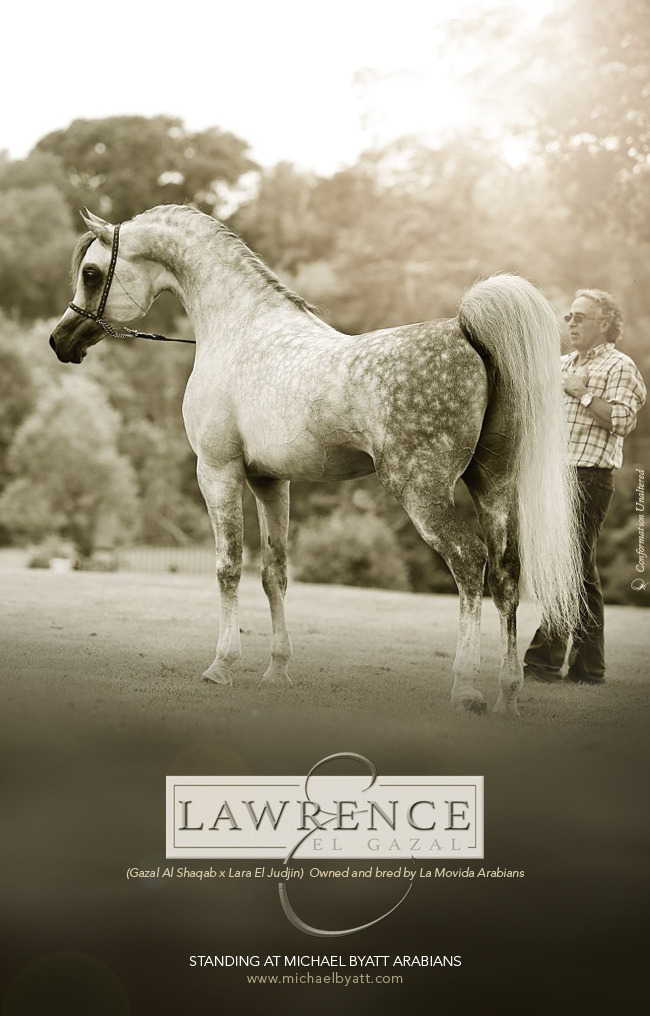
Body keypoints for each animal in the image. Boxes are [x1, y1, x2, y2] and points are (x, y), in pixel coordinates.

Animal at [49, 203, 581, 717]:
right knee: (507, 575)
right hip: (492, 485)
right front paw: (277, 670)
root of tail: (465, 332)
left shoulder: (217, 471)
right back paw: (508, 694)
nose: (60, 341)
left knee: (470, 565)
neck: (239, 332)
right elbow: (274, 574)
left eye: (91, 273)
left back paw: (466, 687)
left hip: (421, 490)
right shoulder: (270, 481)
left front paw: (222, 665)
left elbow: (228, 567)